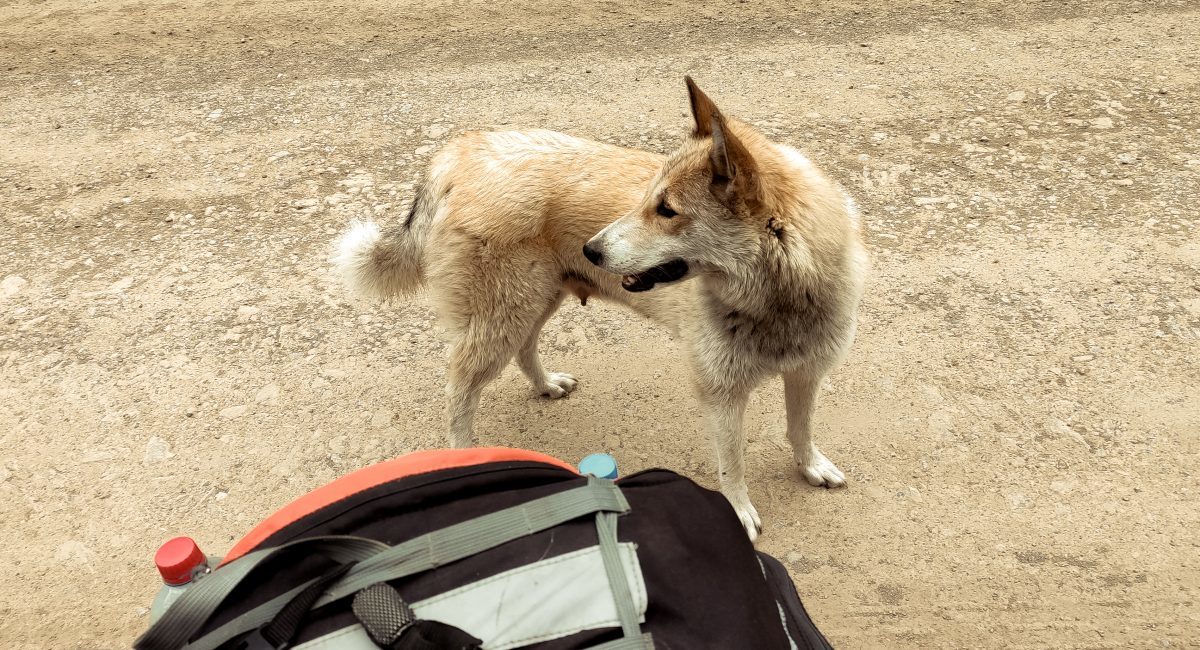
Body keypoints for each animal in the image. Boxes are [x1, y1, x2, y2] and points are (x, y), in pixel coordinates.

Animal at [333, 79, 868, 542]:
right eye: (650, 200)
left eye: (666, 210)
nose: (592, 249)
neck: (780, 296)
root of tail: (458, 154)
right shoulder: (722, 395)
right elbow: (731, 463)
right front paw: (737, 510)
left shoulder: (807, 373)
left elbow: (800, 428)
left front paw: (810, 466)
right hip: (502, 320)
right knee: (459, 392)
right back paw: (464, 458)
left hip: (535, 302)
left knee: (525, 349)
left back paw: (546, 385)